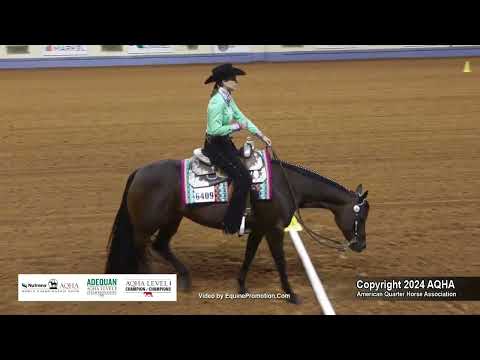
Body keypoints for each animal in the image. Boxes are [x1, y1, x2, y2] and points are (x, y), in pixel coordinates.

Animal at [105, 146, 370, 304]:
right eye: (360, 216)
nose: (361, 245)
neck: (285, 185)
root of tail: (139, 171)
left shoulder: (260, 229)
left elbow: (249, 255)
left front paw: (242, 286)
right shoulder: (274, 230)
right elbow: (280, 261)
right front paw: (291, 294)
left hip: (172, 219)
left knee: (160, 246)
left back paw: (185, 279)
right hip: (146, 225)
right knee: (142, 248)